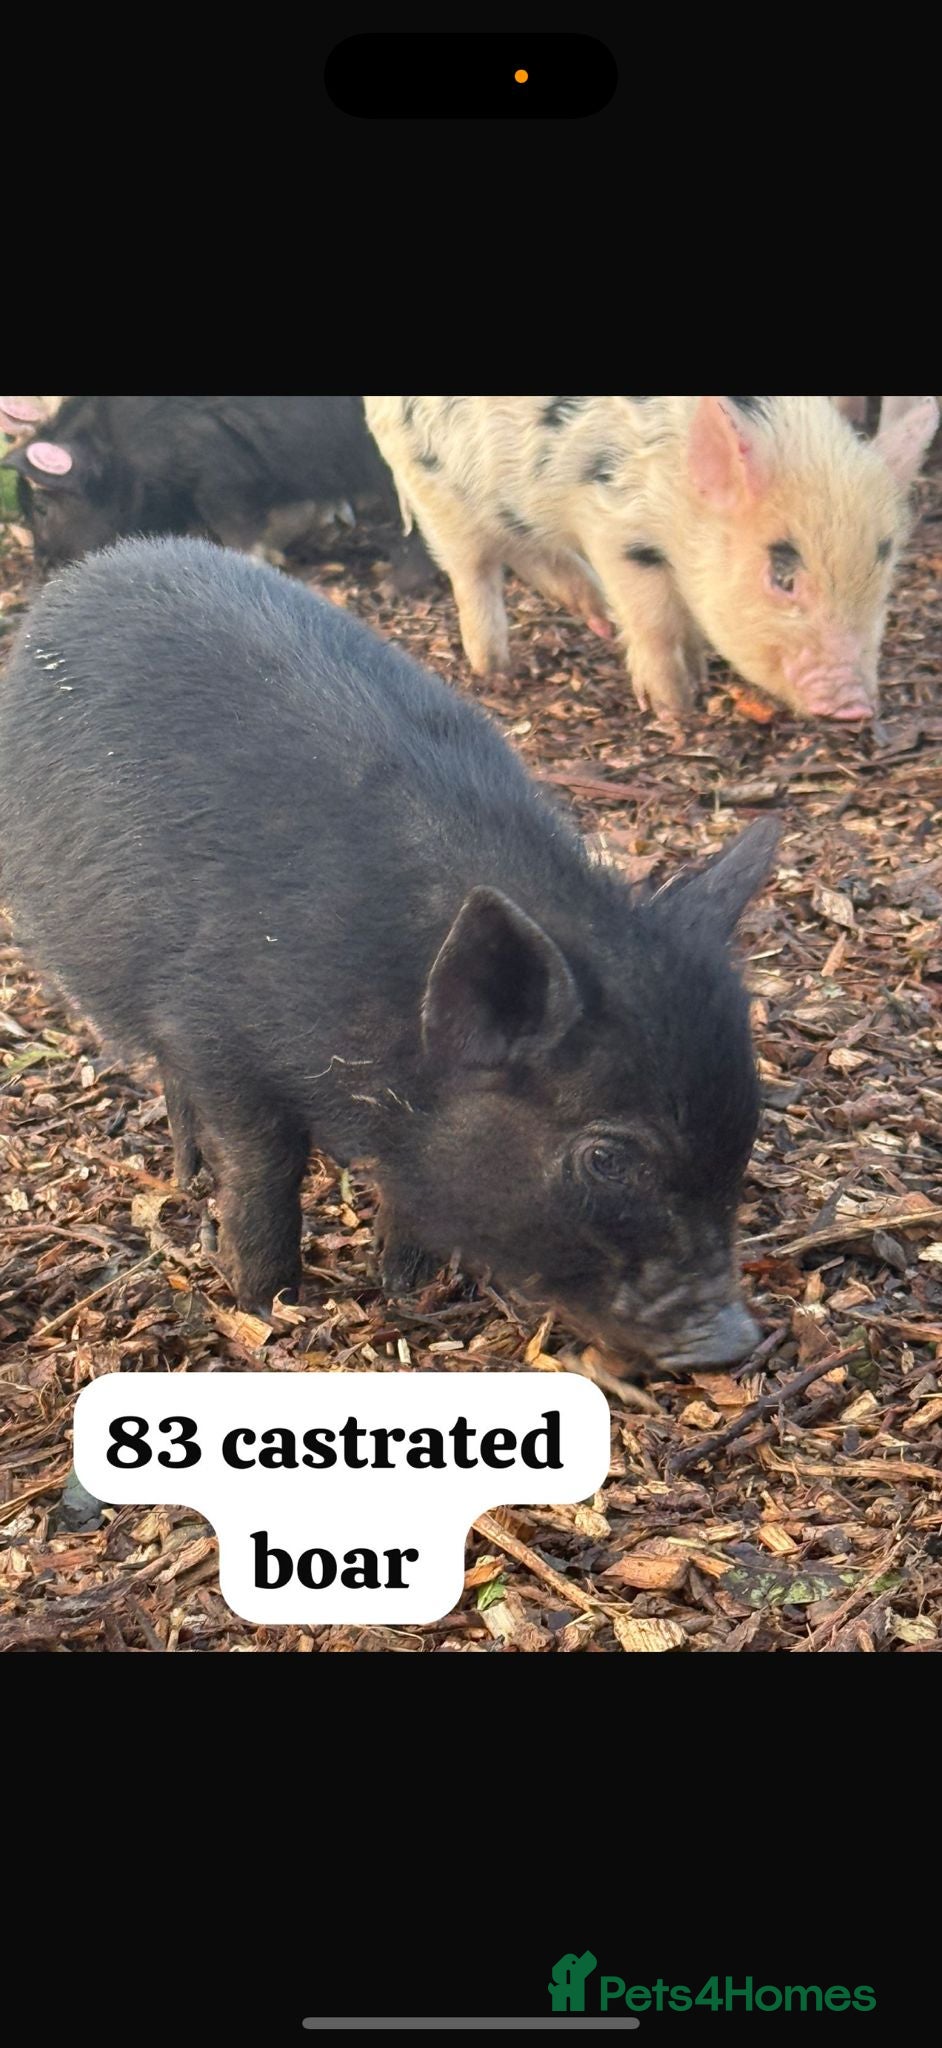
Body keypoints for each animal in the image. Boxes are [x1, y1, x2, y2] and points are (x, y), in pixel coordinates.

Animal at [0, 536, 782, 1372]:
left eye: (746, 1129)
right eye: (606, 1158)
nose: (733, 1341)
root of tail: (89, 570)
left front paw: (410, 1285)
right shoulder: (217, 1038)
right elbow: (263, 1170)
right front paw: (266, 1302)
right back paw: (187, 1174)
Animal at [365, 394, 940, 721]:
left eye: (883, 576)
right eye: (783, 577)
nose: (855, 707)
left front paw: (700, 677)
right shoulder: (615, 527)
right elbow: (656, 621)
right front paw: (675, 710)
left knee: (529, 551)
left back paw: (596, 619)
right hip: (436, 489)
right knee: (474, 570)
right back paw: (498, 670)